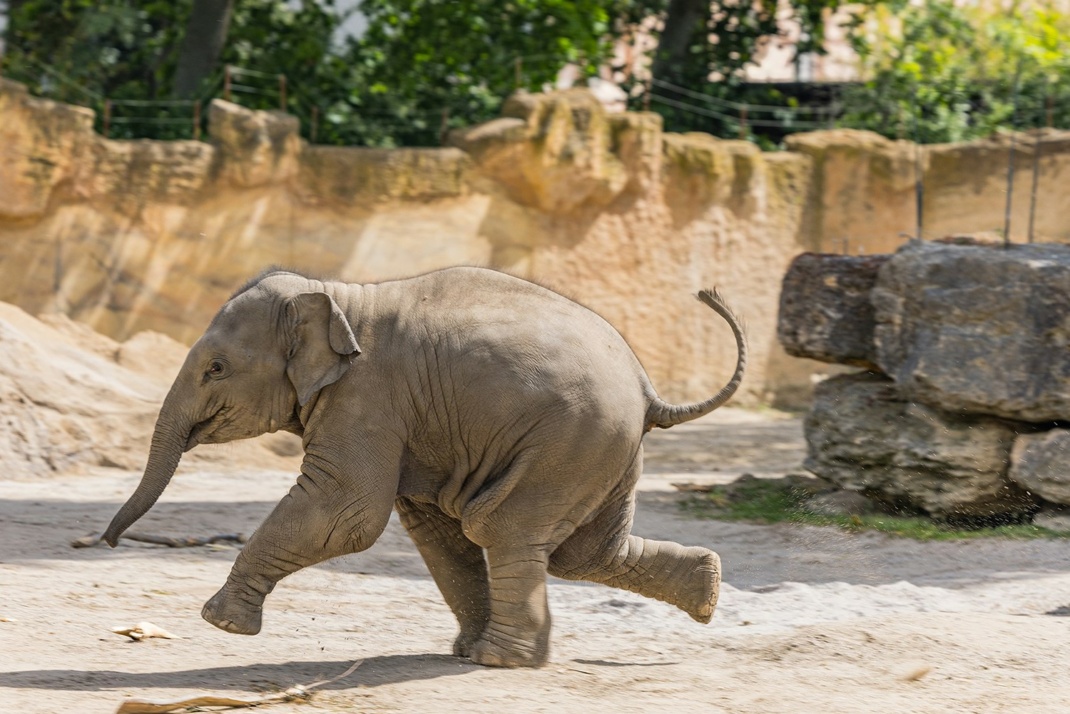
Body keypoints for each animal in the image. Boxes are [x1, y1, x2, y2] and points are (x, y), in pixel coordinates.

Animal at [106, 265, 744, 667]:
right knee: (581, 551)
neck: (336, 296)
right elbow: (431, 529)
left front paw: (219, 623)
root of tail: (648, 390)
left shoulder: (368, 397)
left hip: (573, 441)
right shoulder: (412, 423)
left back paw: (500, 661)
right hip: (603, 451)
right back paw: (707, 589)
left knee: (507, 527)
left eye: (215, 368)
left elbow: (347, 511)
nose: (108, 543)